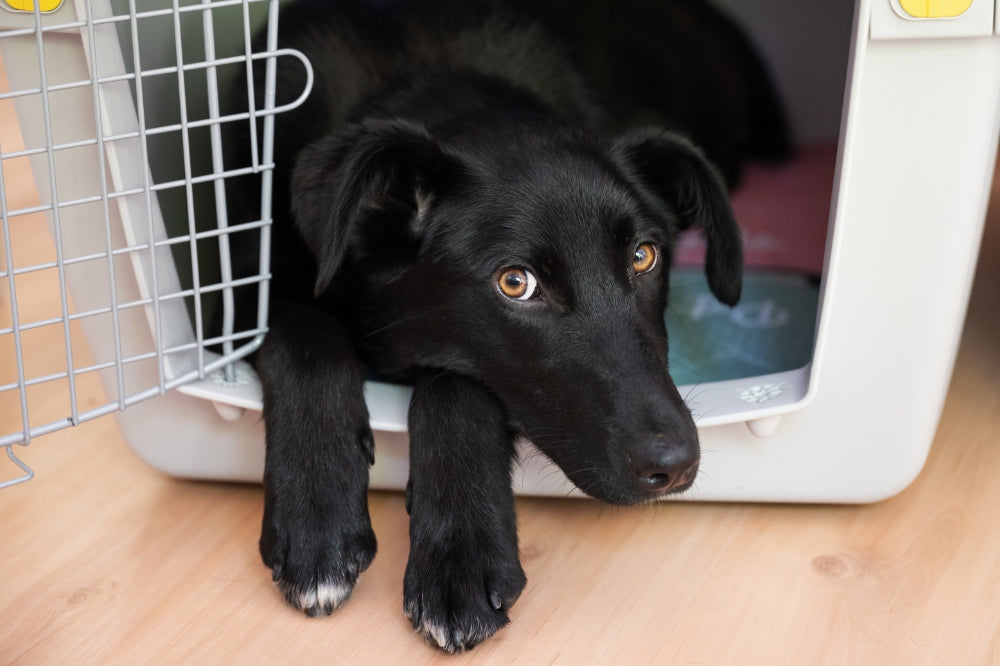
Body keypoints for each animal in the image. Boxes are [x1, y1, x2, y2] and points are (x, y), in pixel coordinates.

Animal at [223, 0, 784, 652]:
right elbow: (303, 336)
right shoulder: (233, 297)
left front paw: (460, 558)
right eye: (515, 283)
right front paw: (317, 515)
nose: (673, 465)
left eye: (644, 256)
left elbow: (456, 385)